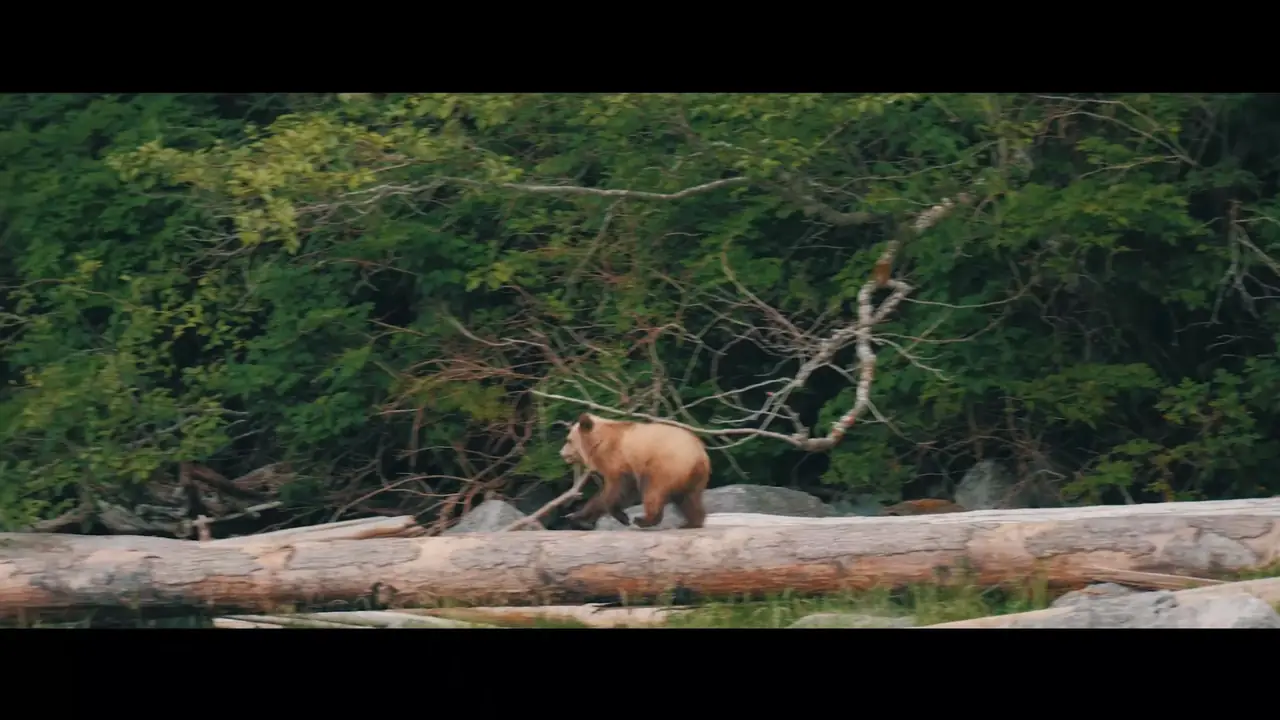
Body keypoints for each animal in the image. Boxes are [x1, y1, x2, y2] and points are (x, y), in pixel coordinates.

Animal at [558, 412, 711, 530]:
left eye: (569, 440)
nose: (562, 453)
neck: (598, 444)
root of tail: (700, 455)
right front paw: (576, 516)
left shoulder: (618, 459)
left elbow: (617, 489)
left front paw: (623, 517)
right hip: (693, 476)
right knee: (689, 498)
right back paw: (691, 522)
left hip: (665, 466)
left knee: (653, 491)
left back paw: (643, 520)